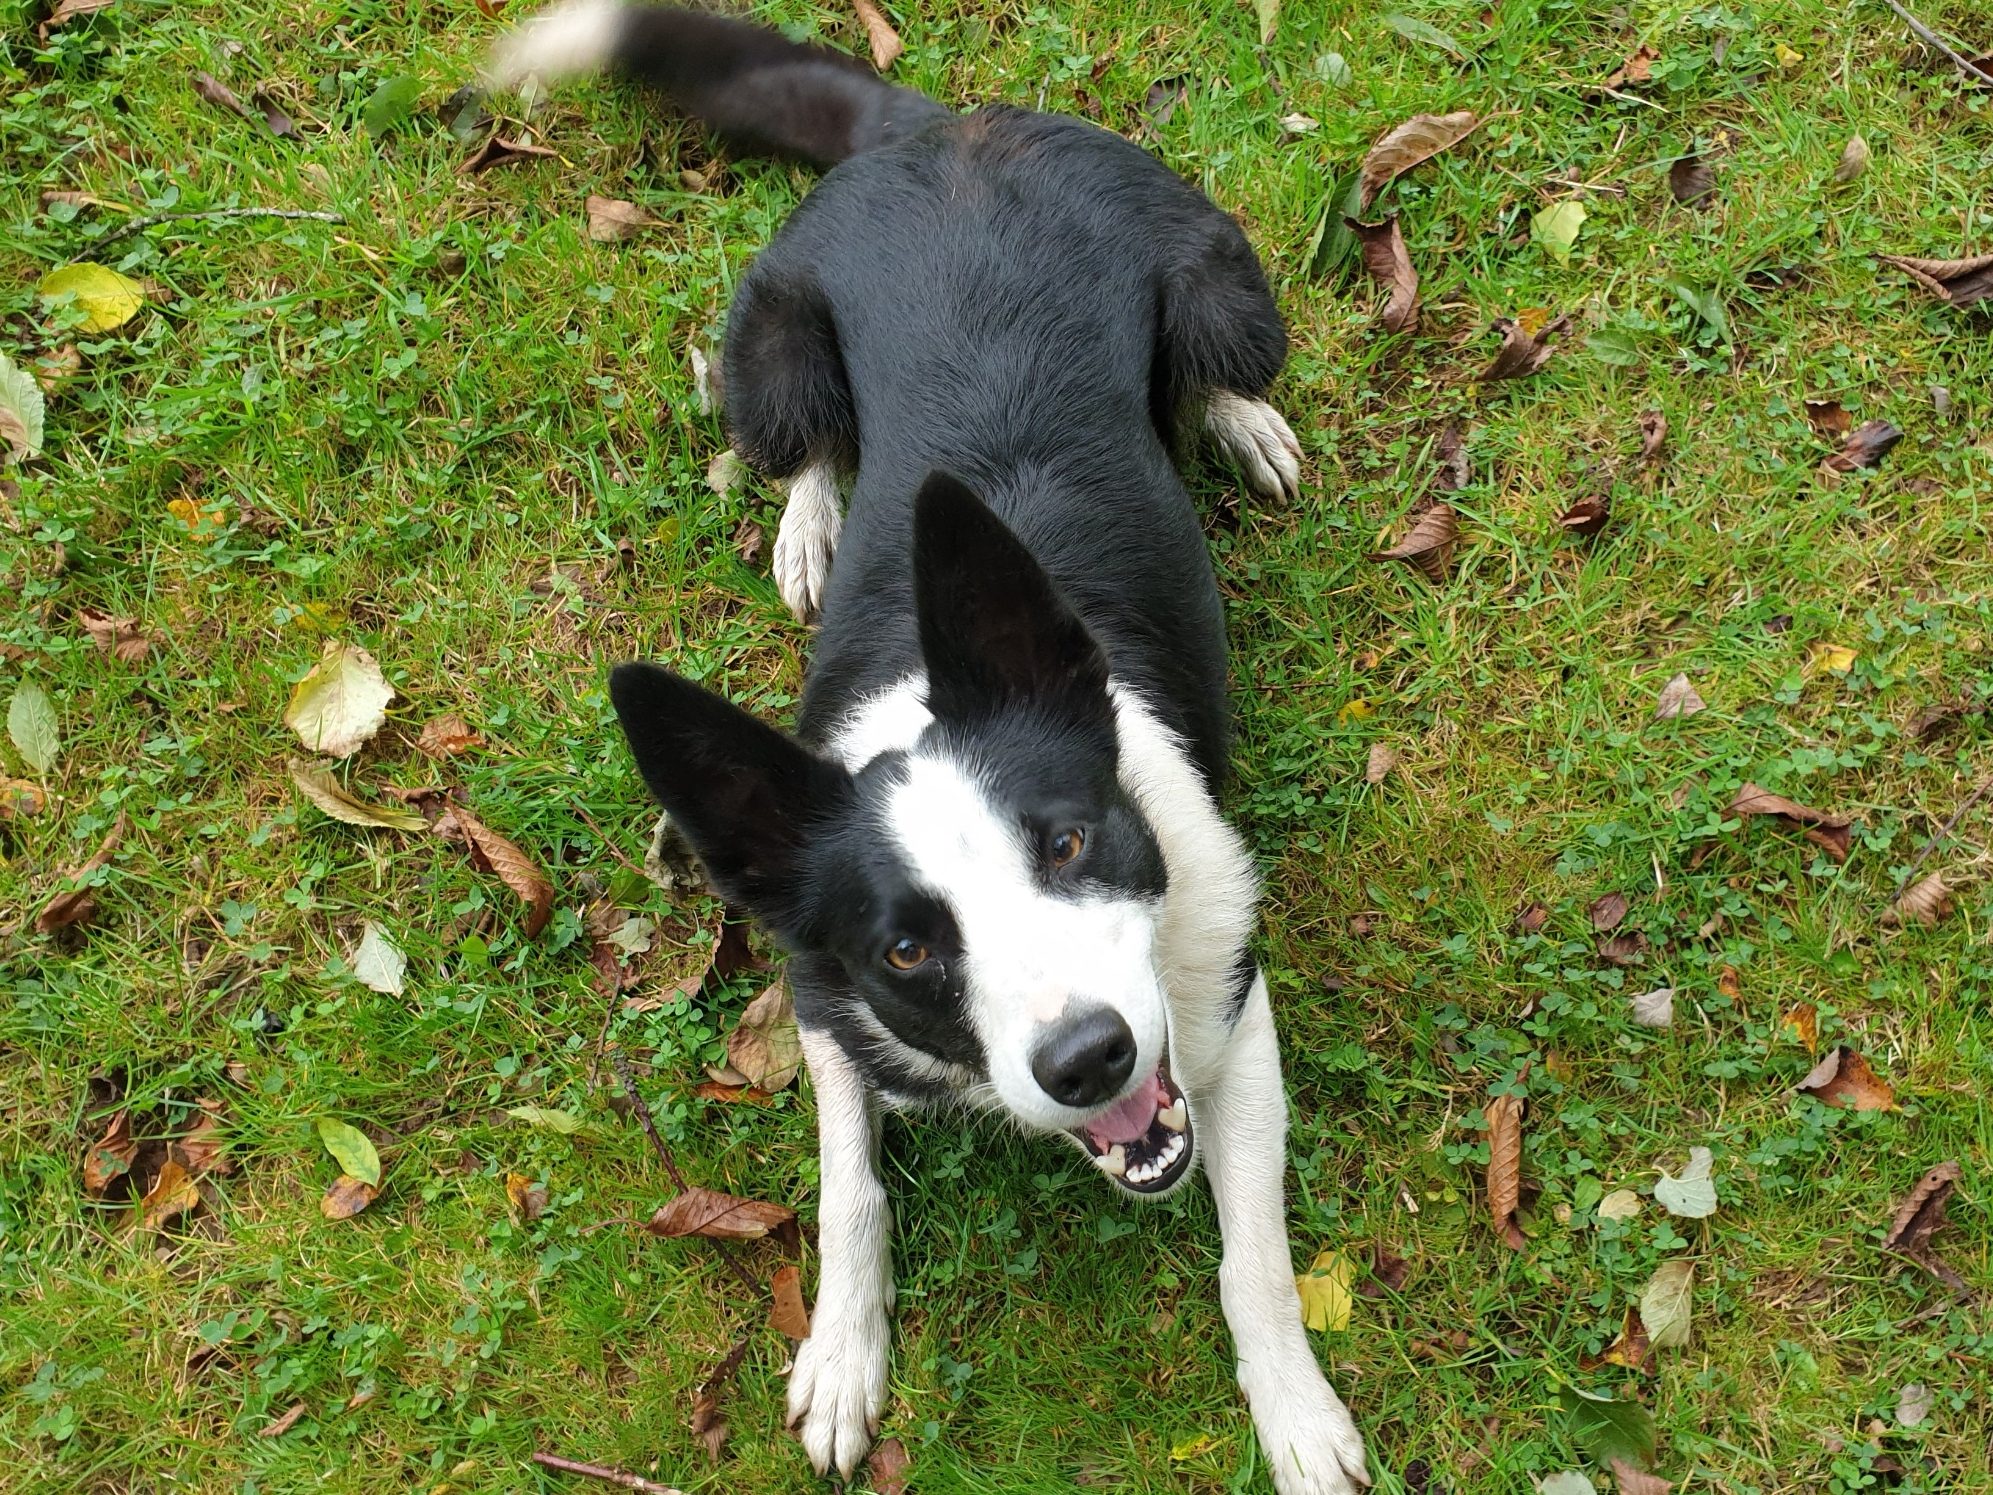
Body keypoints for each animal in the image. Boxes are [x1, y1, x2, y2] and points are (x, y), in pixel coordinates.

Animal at [488, 5, 1363, 1491]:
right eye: (907, 948)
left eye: (1067, 840)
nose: (1090, 1062)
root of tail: (939, 128)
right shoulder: (825, 1002)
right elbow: (846, 1189)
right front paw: (842, 1357)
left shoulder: (1233, 1020)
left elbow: (1255, 1260)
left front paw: (1296, 1417)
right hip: (769, 351)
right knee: (798, 444)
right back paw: (810, 527)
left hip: (1224, 287)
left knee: (1208, 368)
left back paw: (1241, 423)